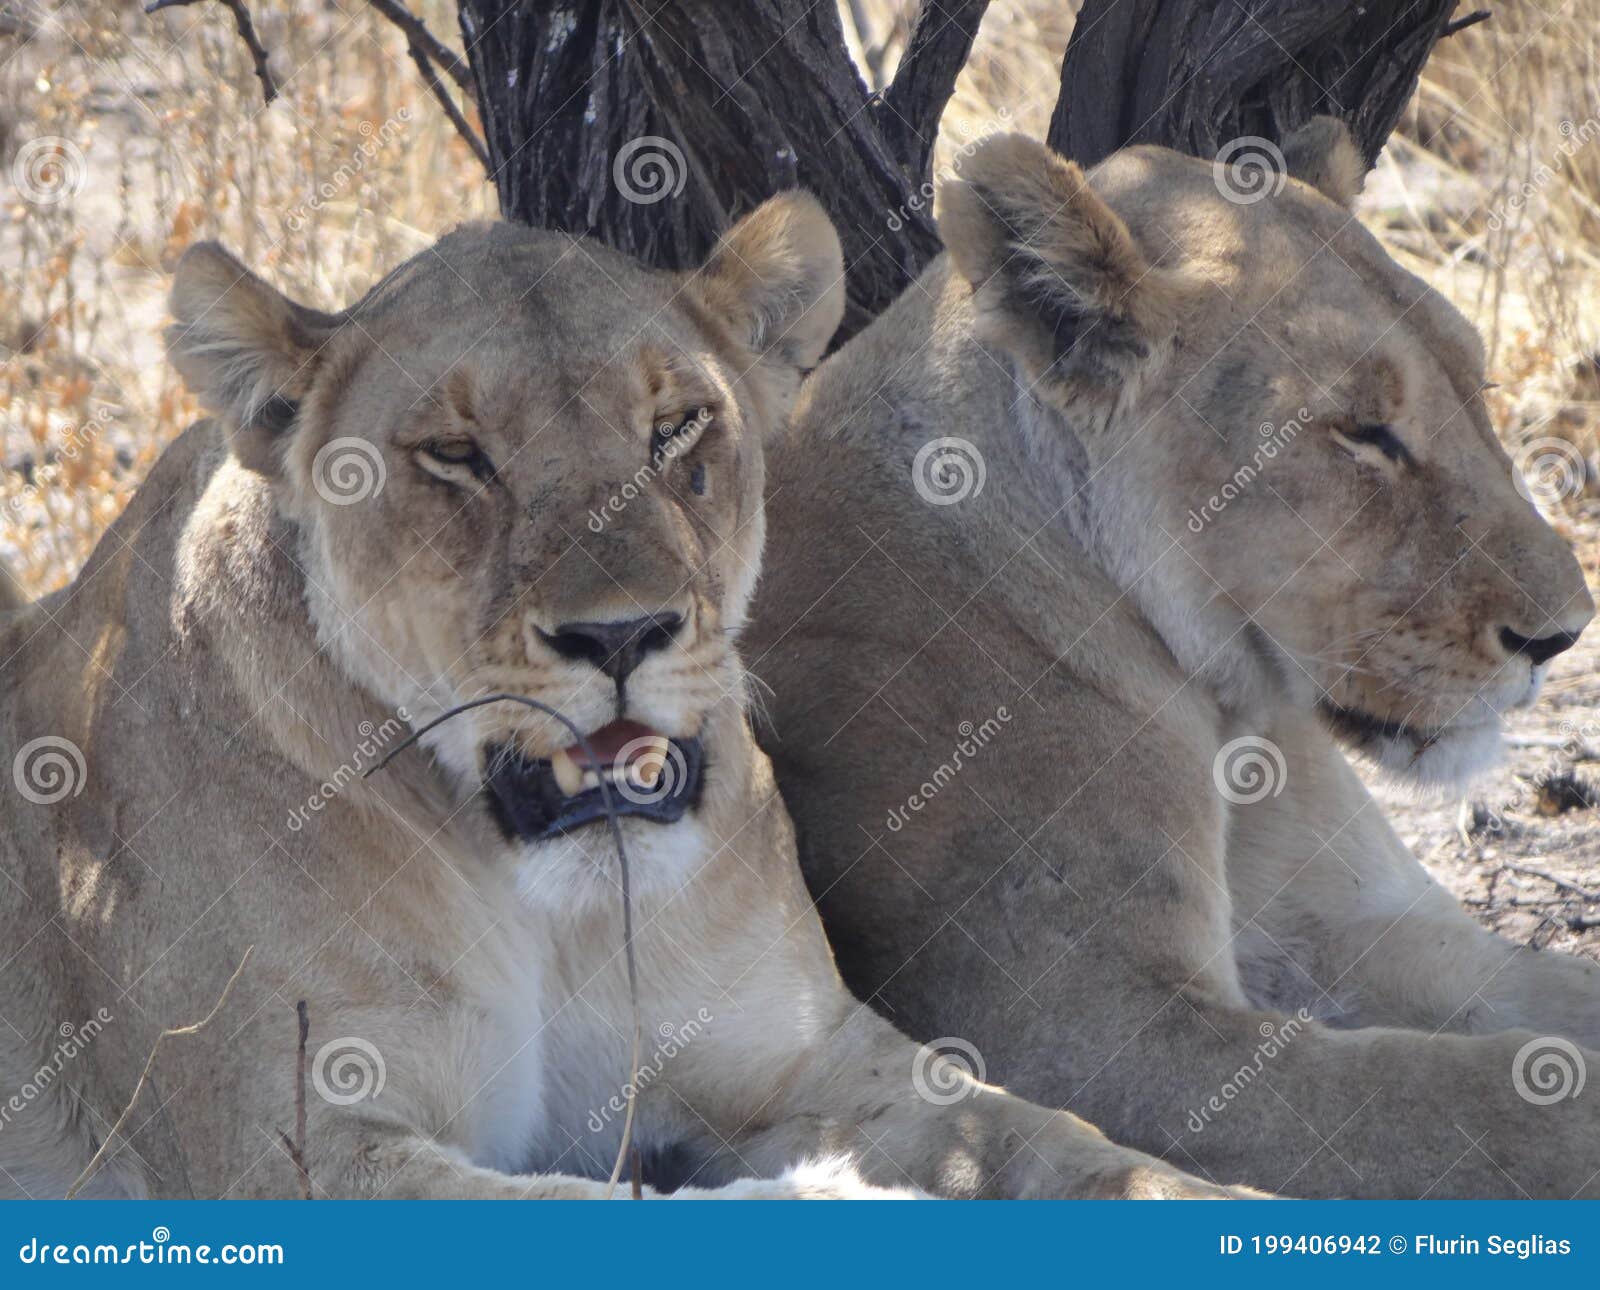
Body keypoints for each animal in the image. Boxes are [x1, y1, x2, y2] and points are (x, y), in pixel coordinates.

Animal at [0, 198, 1244, 1200]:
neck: (563, 912)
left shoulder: (809, 1055)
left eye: (675, 425)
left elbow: (1062, 1145)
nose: (621, 636)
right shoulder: (294, 1149)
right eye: (454, 454)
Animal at [748, 120, 1600, 1198]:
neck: (1233, 721)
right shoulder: (1087, 1027)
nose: (1563, 633)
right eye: (1361, 433)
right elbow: (1469, 1095)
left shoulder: (1381, 932)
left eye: (1477, 388)